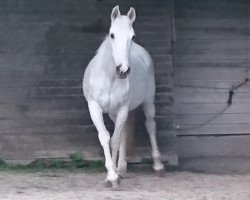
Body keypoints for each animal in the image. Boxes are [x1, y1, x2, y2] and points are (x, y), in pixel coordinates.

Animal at [82, 5, 164, 188]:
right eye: (112, 34)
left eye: (132, 36)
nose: (123, 70)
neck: (109, 78)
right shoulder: (94, 107)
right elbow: (106, 137)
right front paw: (112, 174)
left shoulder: (123, 108)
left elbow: (115, 139)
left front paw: (112, 177)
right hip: (113, 112)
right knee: (126, 131)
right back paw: (121, 168)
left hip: (148, 102)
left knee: (151, 125)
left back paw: (158, 166)